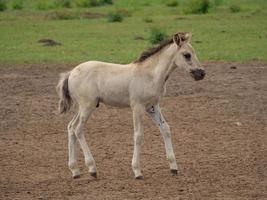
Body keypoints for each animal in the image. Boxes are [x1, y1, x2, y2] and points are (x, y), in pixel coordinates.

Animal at [57, 31, 206, 180]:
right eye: (187, 55)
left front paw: (173, 167)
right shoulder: (137, 107)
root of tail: (70, 73)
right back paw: (92, 169)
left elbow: (165, 129)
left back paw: (75, 171)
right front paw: (137, 171)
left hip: (82, 107)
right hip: (88, 106)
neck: (150, 75)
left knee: (71, 127)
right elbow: (138, 135)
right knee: (78, 129)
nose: (202, 73)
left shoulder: (153, 107)